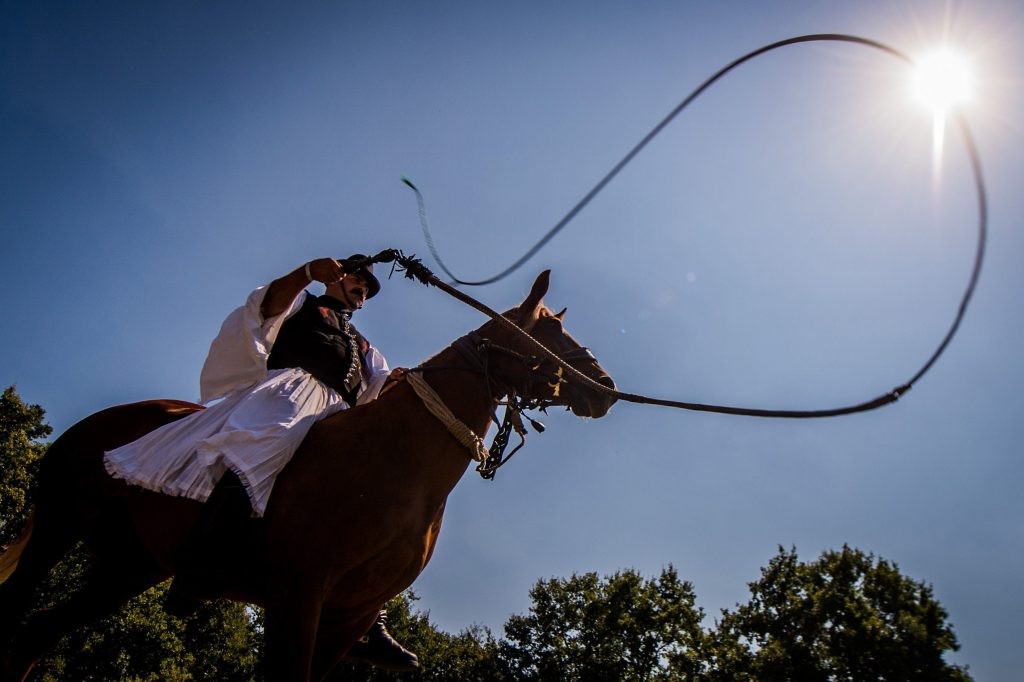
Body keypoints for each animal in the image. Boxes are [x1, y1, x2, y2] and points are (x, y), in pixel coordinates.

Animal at [0, 270, 614, 679]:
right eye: (548, 334)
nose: (605, 388)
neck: (399, 459)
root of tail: (95, 423)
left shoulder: (349, 614)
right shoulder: (297, 594)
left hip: (129, 566)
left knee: (35, 636)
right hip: (58, 525)